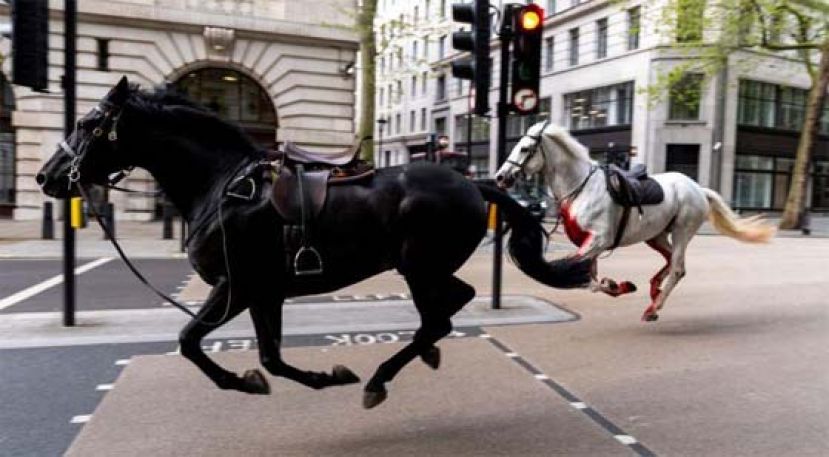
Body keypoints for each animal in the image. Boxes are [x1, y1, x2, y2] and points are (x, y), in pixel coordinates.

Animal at [37, 77, 592, 409]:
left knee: (440, 315)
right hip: (424, 268)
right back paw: (421, 355)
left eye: (87, 123)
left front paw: (246, 381)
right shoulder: (264, 292)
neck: (221, 185)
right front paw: (315, 376)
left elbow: (191, 341)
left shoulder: (236, 286)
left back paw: (380, 379)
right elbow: (270, 358)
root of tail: (473, 184)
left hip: (418, 267)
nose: (47, 177)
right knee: (450, 306)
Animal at [495, 121, 776, 322]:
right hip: (656, 235)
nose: (500, 176)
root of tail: (698, 188)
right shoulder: (589, 244)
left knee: (677, 268)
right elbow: (590, 280)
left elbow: (565, 271)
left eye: (525, 148)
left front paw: (617, 285)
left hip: (682, 231)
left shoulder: (598, 240)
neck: (581, 188)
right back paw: (654, 292)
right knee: (670, 261)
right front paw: (617, 285)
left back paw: (653, 308)